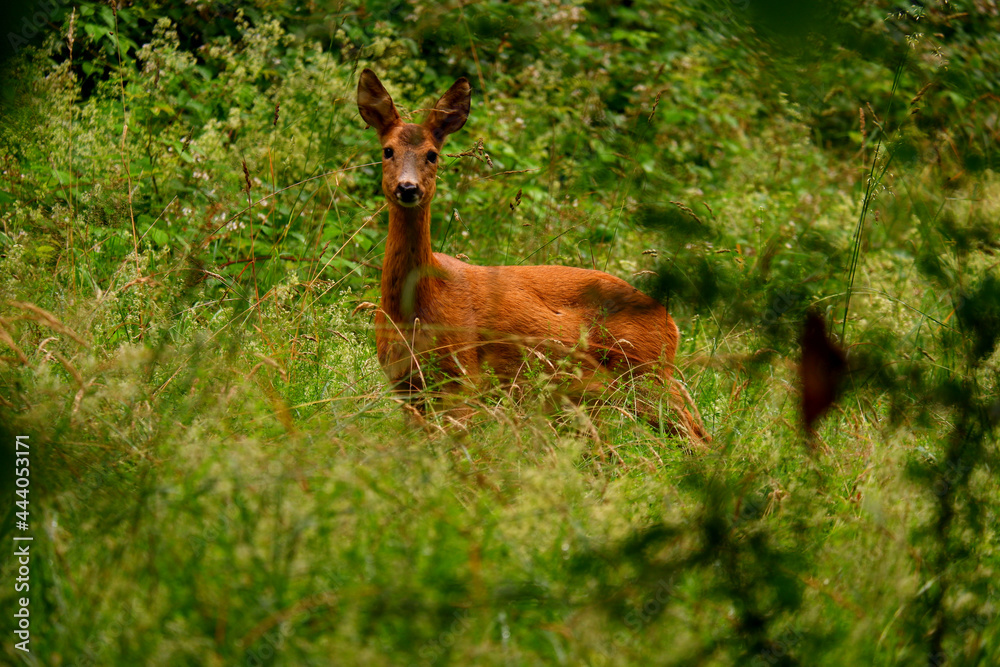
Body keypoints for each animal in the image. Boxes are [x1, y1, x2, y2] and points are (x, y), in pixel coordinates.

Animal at [357, 69, 709, 445]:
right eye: (387, 150)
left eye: (432, 154)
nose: (408, 188)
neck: (417, 305)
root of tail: (670, 322)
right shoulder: (405, 386)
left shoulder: (462, 376)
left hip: (644, 370)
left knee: (695, 434)